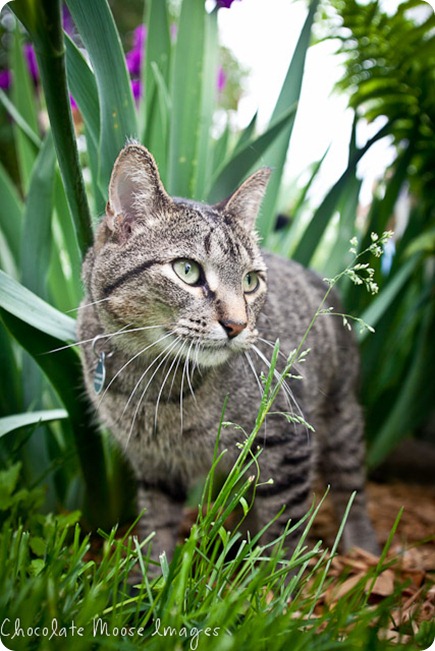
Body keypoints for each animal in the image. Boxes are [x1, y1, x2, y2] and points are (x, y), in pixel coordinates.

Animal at [76, 143, 380, 564]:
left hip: (341, 415)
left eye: (251, 281)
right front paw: (148, 578)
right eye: (187, 270)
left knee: (352, 487)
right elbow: (156, 530)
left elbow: (284, 530)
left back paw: (362, 549)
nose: (237, 324)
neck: (156, 381)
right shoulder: (154, 465)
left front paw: (278, 579)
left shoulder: (286, 443)